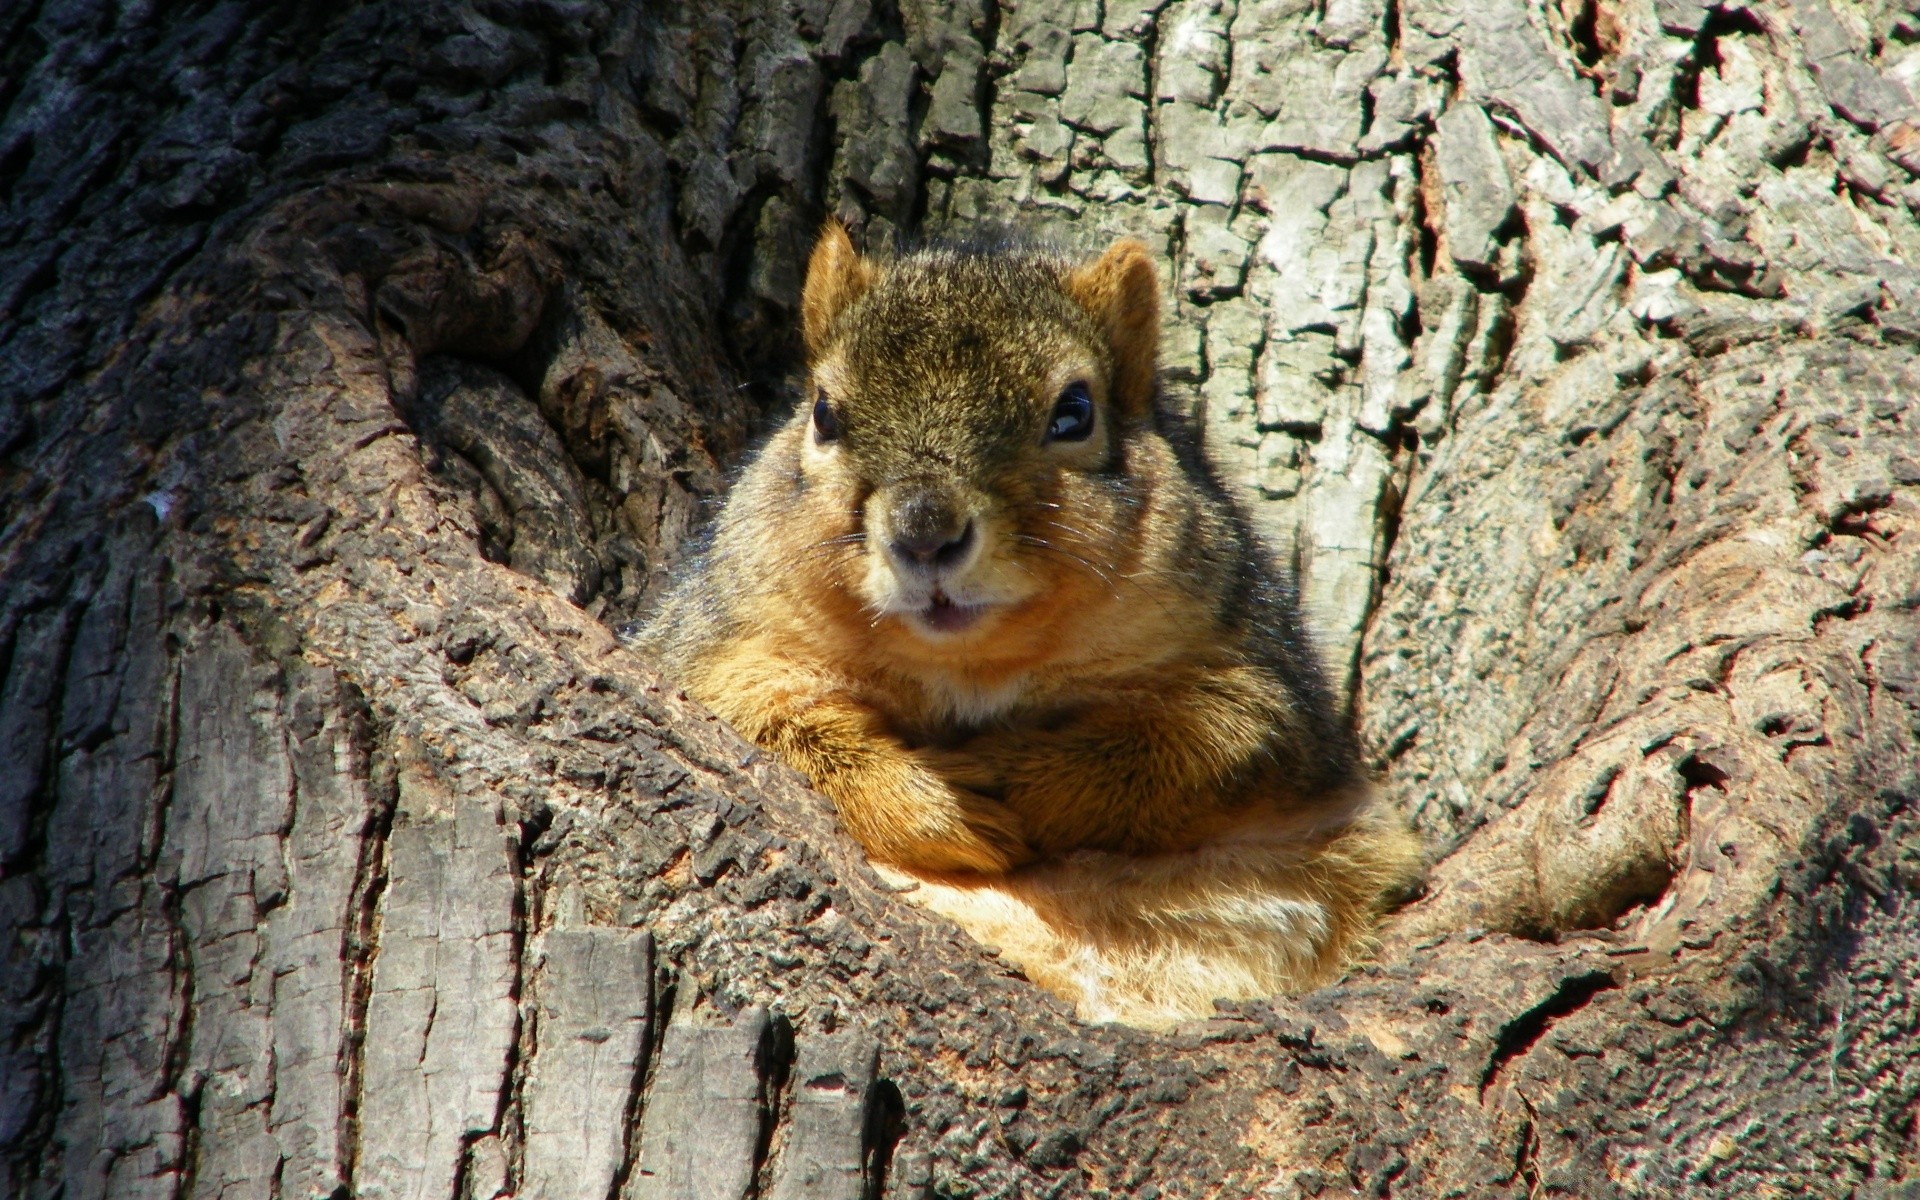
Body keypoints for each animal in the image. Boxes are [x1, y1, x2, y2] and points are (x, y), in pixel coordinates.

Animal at [645, 219, 1428, 1021]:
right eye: (824, 413)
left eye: (1075, 410)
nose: (923, 532)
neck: (973, 665)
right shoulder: (716, 648)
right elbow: (763, 721)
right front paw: (940, 808)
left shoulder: (1265, 685)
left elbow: (1202, 747)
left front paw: (1014, 778)